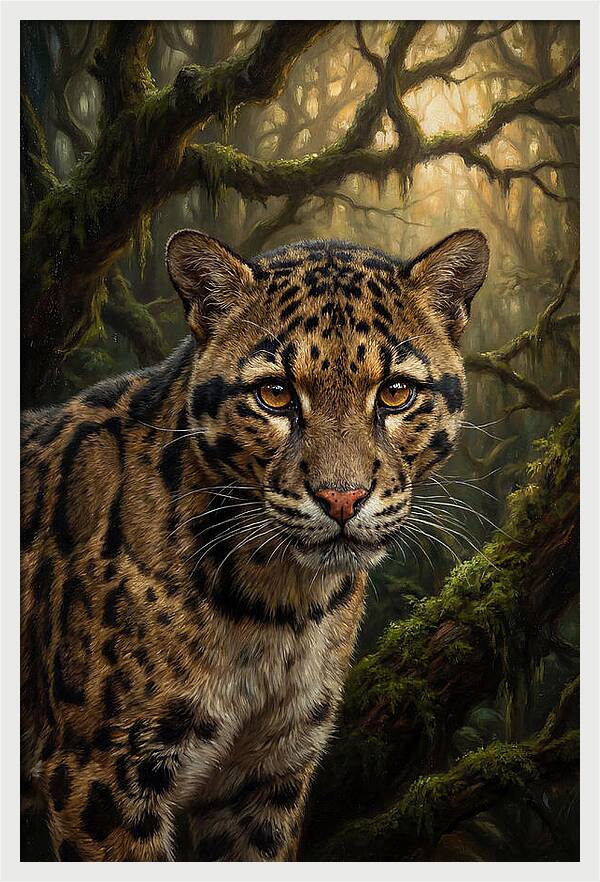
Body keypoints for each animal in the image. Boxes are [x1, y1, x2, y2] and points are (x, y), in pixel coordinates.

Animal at [21, 227, 489, 861]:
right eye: (275, 394)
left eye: (395, 394)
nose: (342, 498)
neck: (280, 604)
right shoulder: (101, 772)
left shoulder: (268, 772)